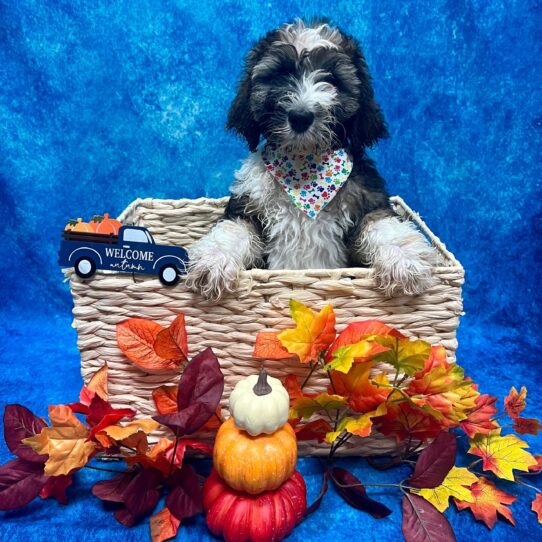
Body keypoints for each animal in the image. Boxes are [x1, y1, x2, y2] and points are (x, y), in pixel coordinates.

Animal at [187, 20, 438, 302]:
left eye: (332, 79)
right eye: (280, 74)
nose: (300, 117)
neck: (303, 168)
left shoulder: (368, 201)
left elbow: (384, 225)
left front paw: (406, 262)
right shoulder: (247, 209)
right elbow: (234, 229)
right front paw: (213, 260)